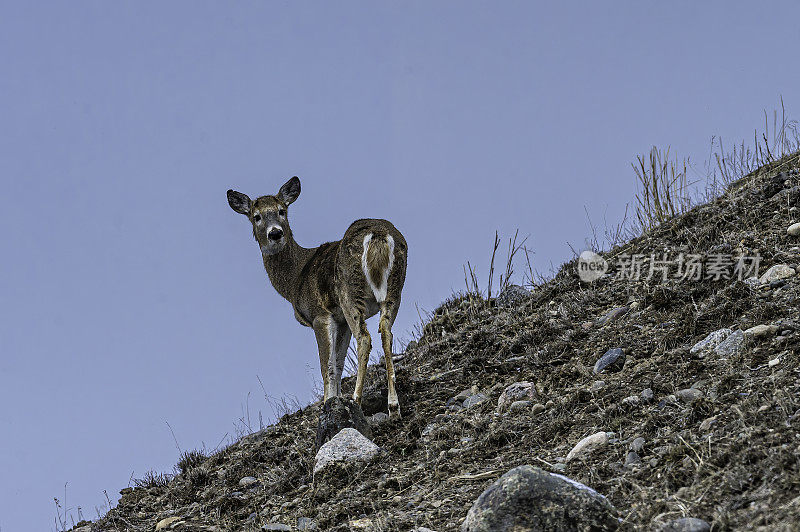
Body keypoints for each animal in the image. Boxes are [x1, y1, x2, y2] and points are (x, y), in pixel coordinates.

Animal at [228, 178, 410, 420]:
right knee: (386, 332)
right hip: (394, 290)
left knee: (364, 338)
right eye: (256, 216)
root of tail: (378, 234)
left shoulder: (320, 315)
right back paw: (393, 406)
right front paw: (336, 400)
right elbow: (339, 363)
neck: (296, 278)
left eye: (282, 210)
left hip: (350, 293)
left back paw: (357, 400)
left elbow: (327, 366)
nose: (275, 233)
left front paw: (329, 403)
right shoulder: (340, 320)